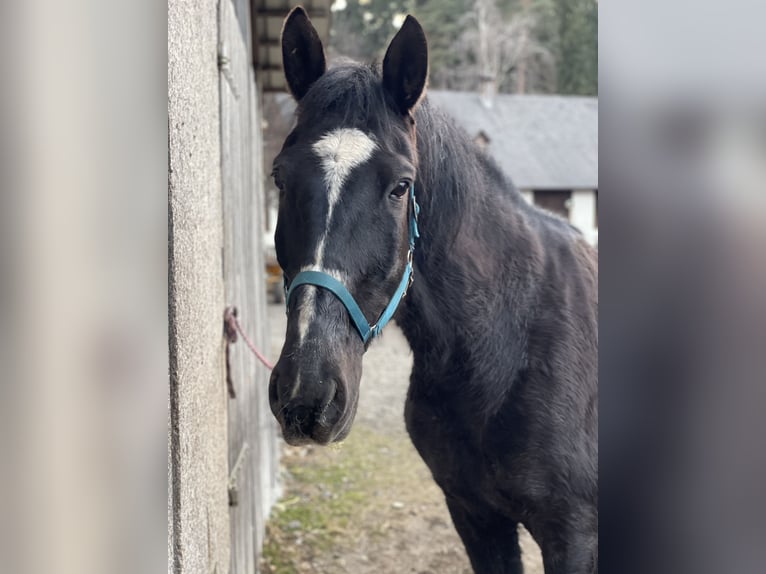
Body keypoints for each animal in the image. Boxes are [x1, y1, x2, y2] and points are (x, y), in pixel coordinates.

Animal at [270, 6, 600, 572]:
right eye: (280, 179)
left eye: (401, 186)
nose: (305, 393)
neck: (509, 343)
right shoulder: (474, 514)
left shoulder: (574, 534)